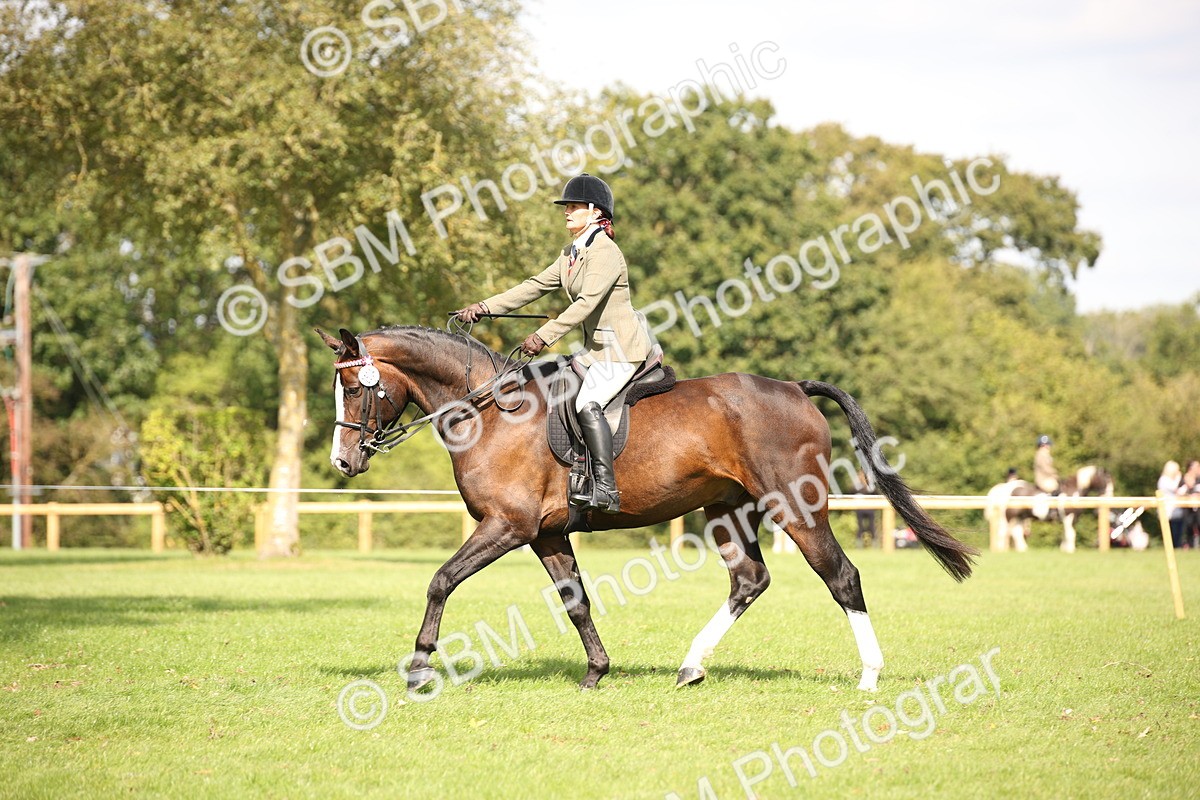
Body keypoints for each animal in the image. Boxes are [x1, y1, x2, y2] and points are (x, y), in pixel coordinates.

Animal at [319, 325, 977, 692]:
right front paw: (596, 672)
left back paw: (869, 676)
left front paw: (419, 668)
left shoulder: (507, 526)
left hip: (795, 507)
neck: (490, 412)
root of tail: (794, 388)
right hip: (727, 512)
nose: (344, 462)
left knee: (842, 577)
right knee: (749, 579)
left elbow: (440, 581)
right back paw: (690, 667)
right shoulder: (545, 534)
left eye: (354, 388)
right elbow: (576, 601)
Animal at [985, 466, 1114, 552]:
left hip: (1020, 517)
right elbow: (1071, 534)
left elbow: (1066, 533)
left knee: (1016, 531)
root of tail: (1007, 487)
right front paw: (1070, 550)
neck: (1072, 491)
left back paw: (1023, 549)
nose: (1110, 495)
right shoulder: (1068, 517)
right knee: (1005, 532)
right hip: (1009, 516)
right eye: (1107, 479)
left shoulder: (1073, 519)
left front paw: (1064, 549)